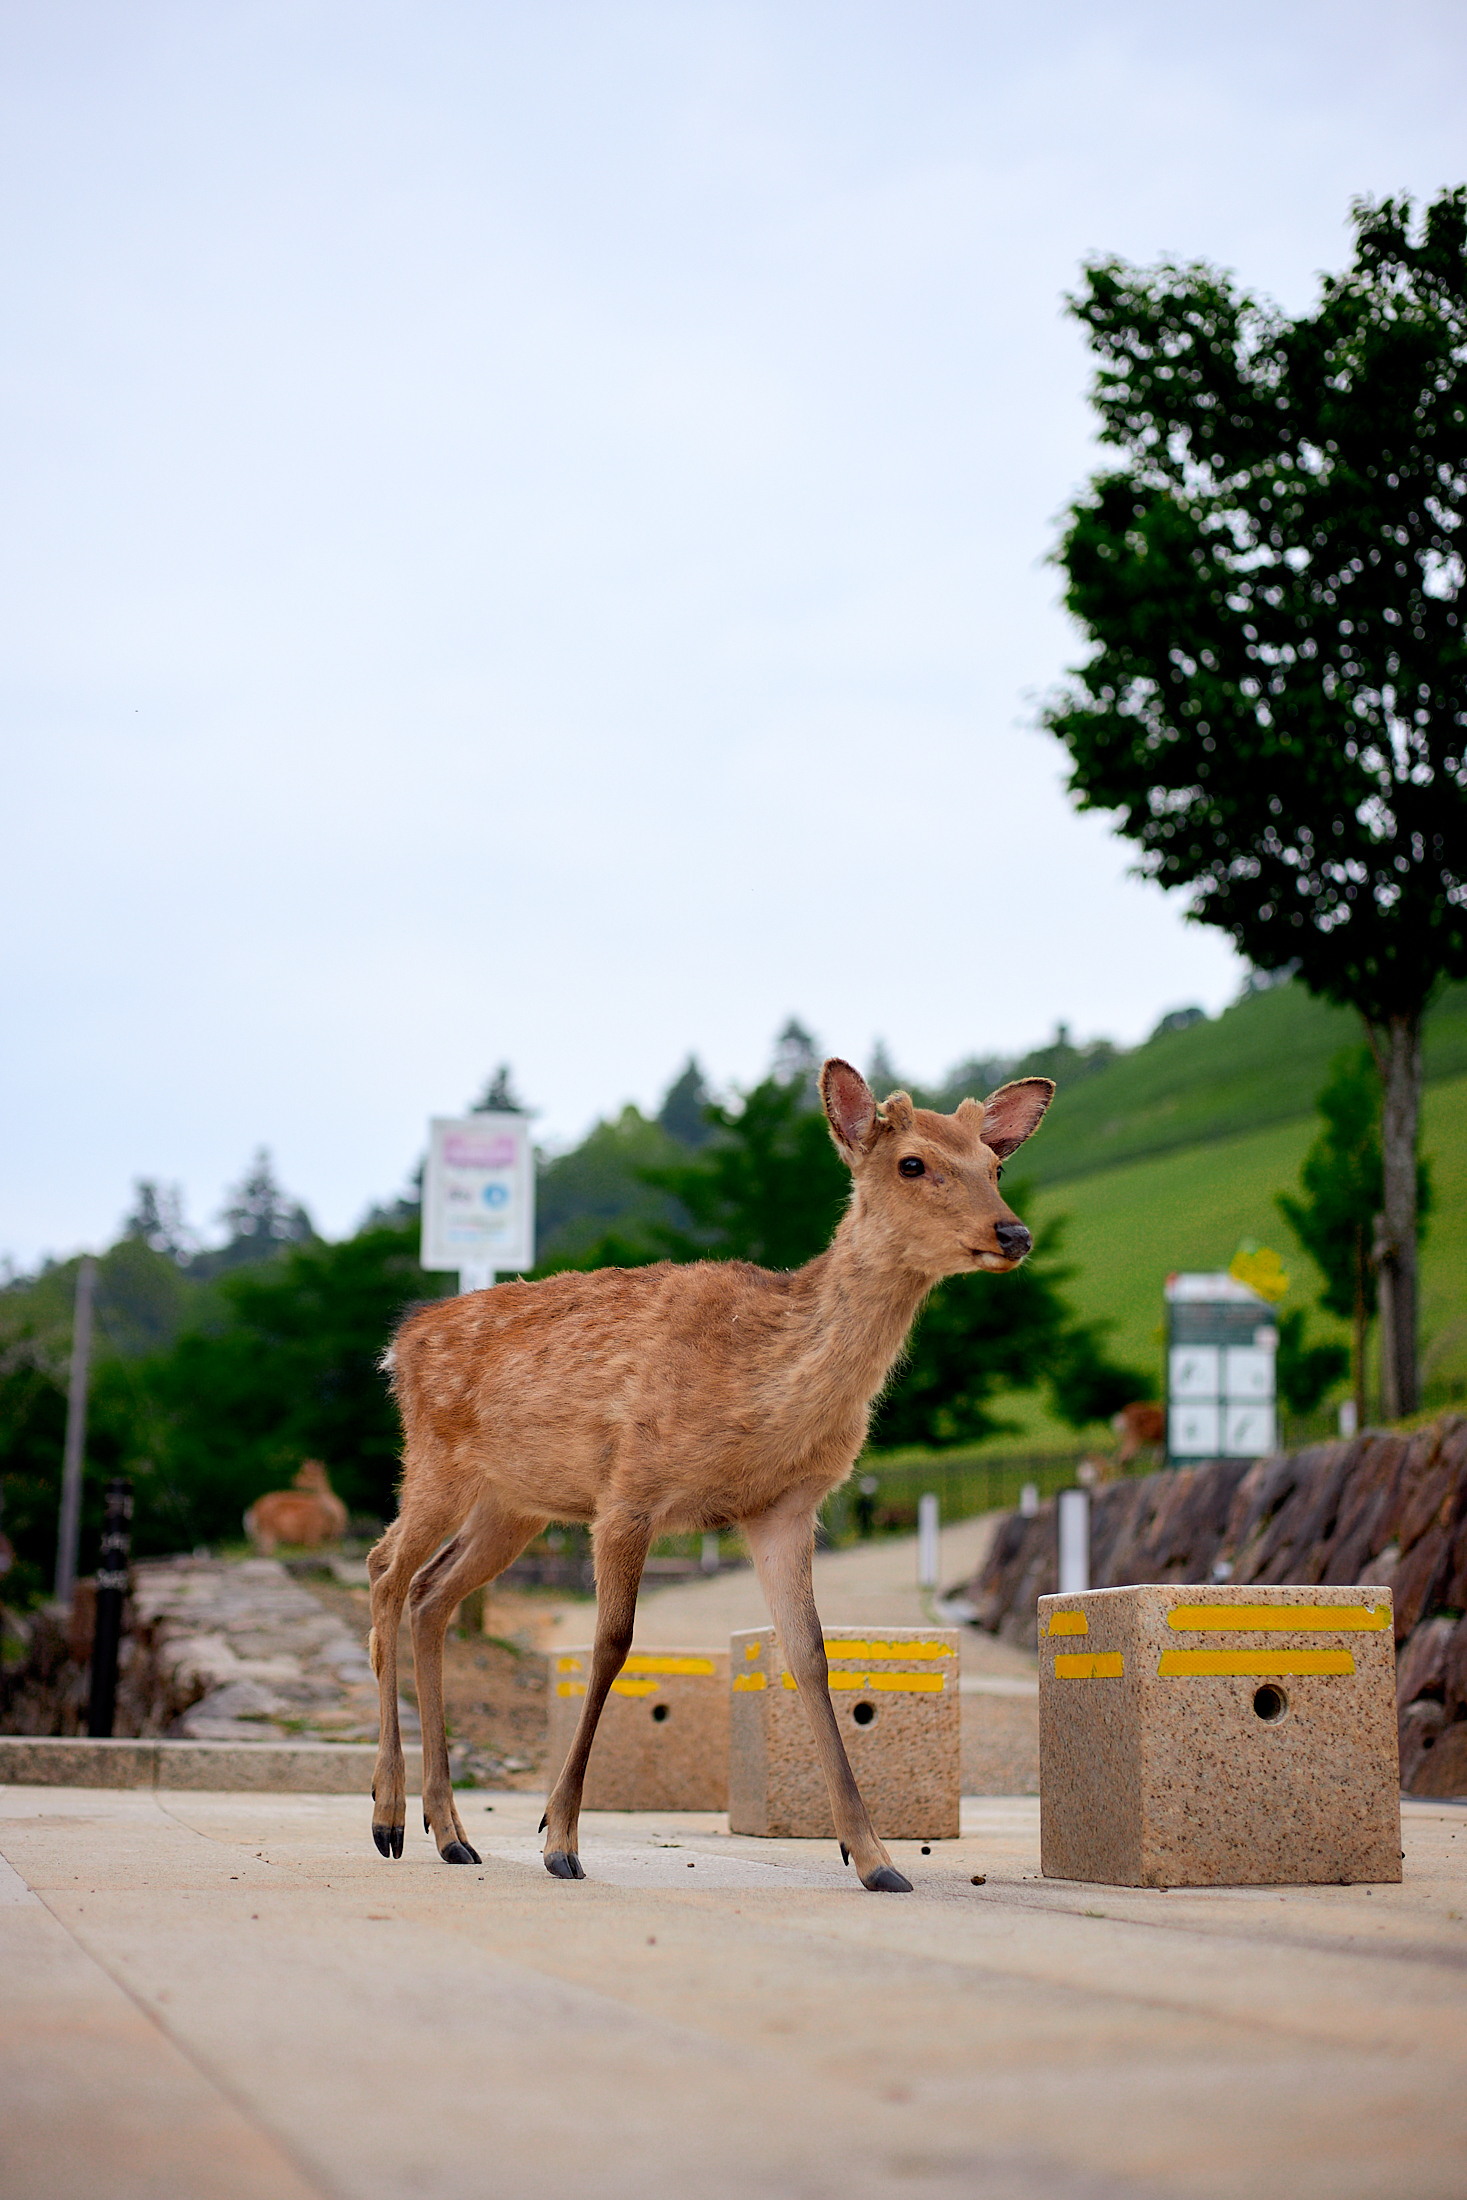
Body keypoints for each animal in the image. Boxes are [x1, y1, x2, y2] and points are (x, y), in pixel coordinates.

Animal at [367, 1056, 1055, 1883]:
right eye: (912, 1163)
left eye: (995, 1166)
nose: (1012, 1232)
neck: (759, 1387)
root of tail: (399, 1344)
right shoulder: (628, 1489)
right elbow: (612, 1643)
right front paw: (559, 1838)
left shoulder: (785, 1508)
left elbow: (810, 1654)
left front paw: (873, 1857)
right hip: (436, 1460)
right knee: (383, 1570)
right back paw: (388, 1817)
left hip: (514, 1505)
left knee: (431, 1594)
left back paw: (450, 1833)